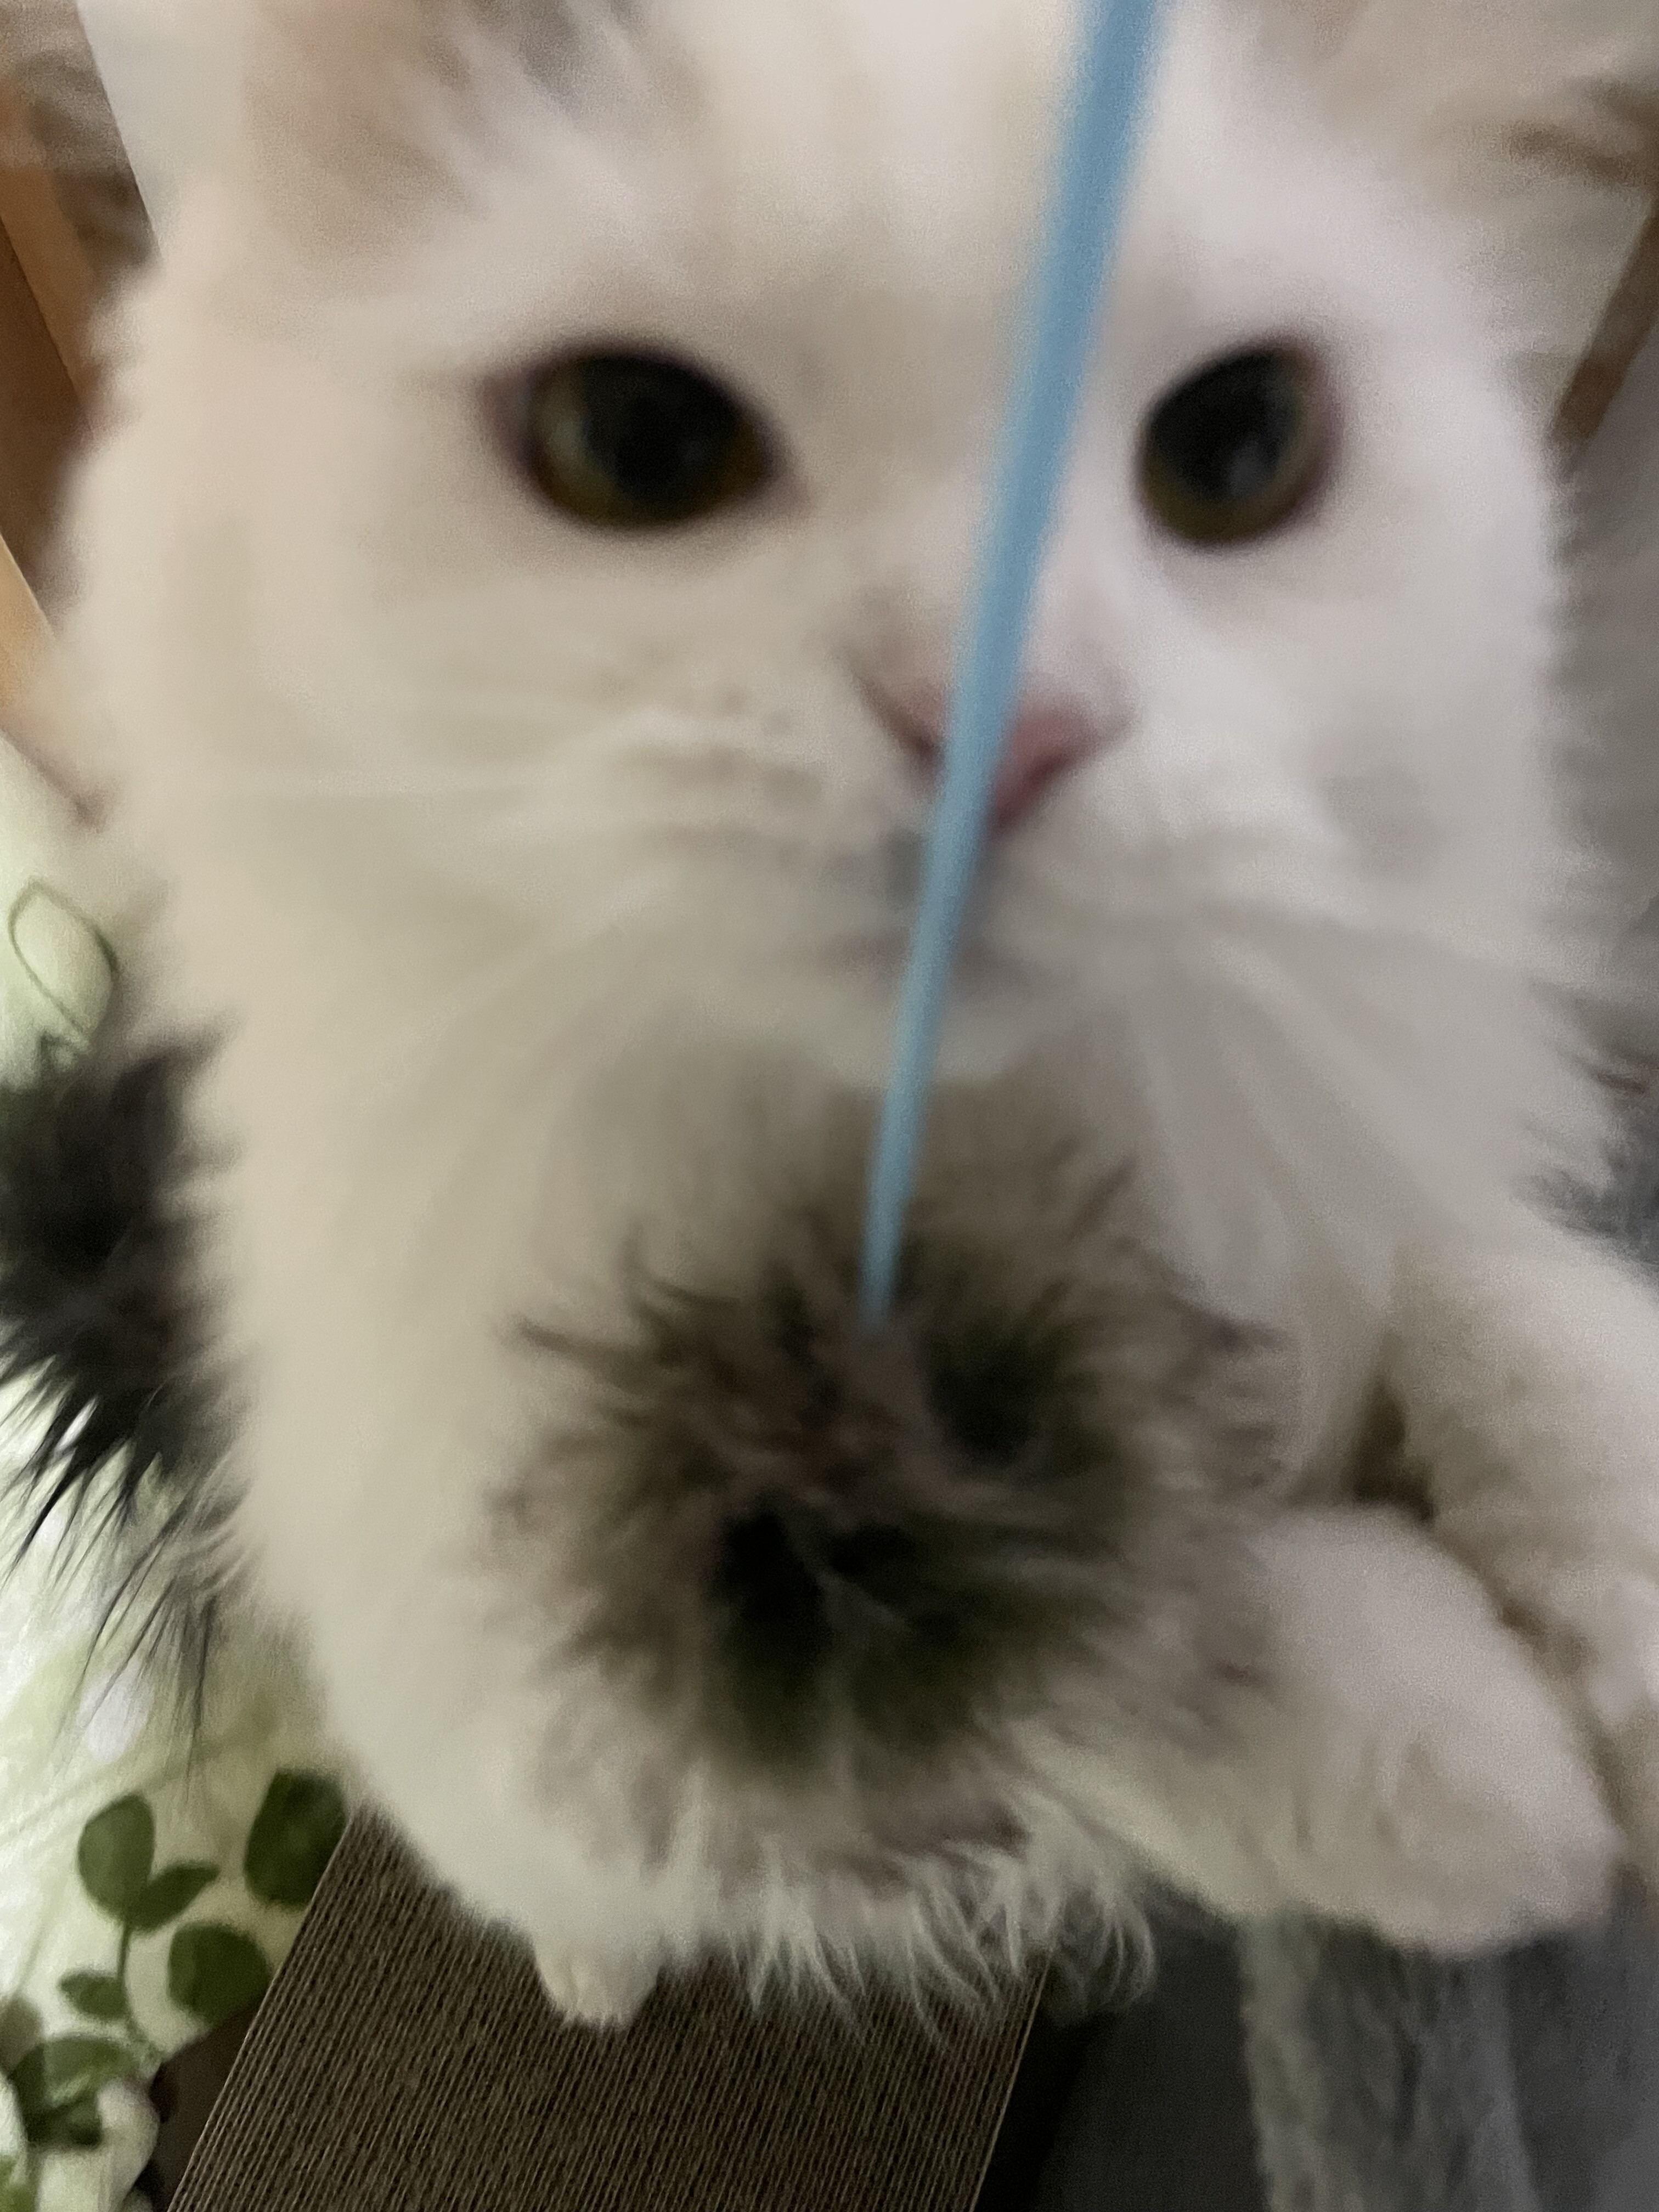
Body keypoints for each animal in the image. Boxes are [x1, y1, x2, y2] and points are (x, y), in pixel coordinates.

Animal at [11, 0, 1659, 2022]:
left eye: (1240, 446)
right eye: (634, 443)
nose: (1000, 728)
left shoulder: (1340, 1114)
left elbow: (1519, 1317)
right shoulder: (582, 1566)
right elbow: (1111, 1654)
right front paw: (1484, 1779)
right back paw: (594, 1968)